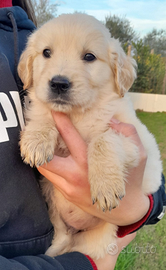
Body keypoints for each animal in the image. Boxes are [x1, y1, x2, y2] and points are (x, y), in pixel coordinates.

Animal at [17, 13, 162, 260]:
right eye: (46, 52)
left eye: (89, 57)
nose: (59, 83)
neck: (78, 114)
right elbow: (45, 113)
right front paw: (36, 140)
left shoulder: (135, 139)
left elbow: (103, 140)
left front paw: (105, 186)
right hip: (58, 224)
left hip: (94, 244)